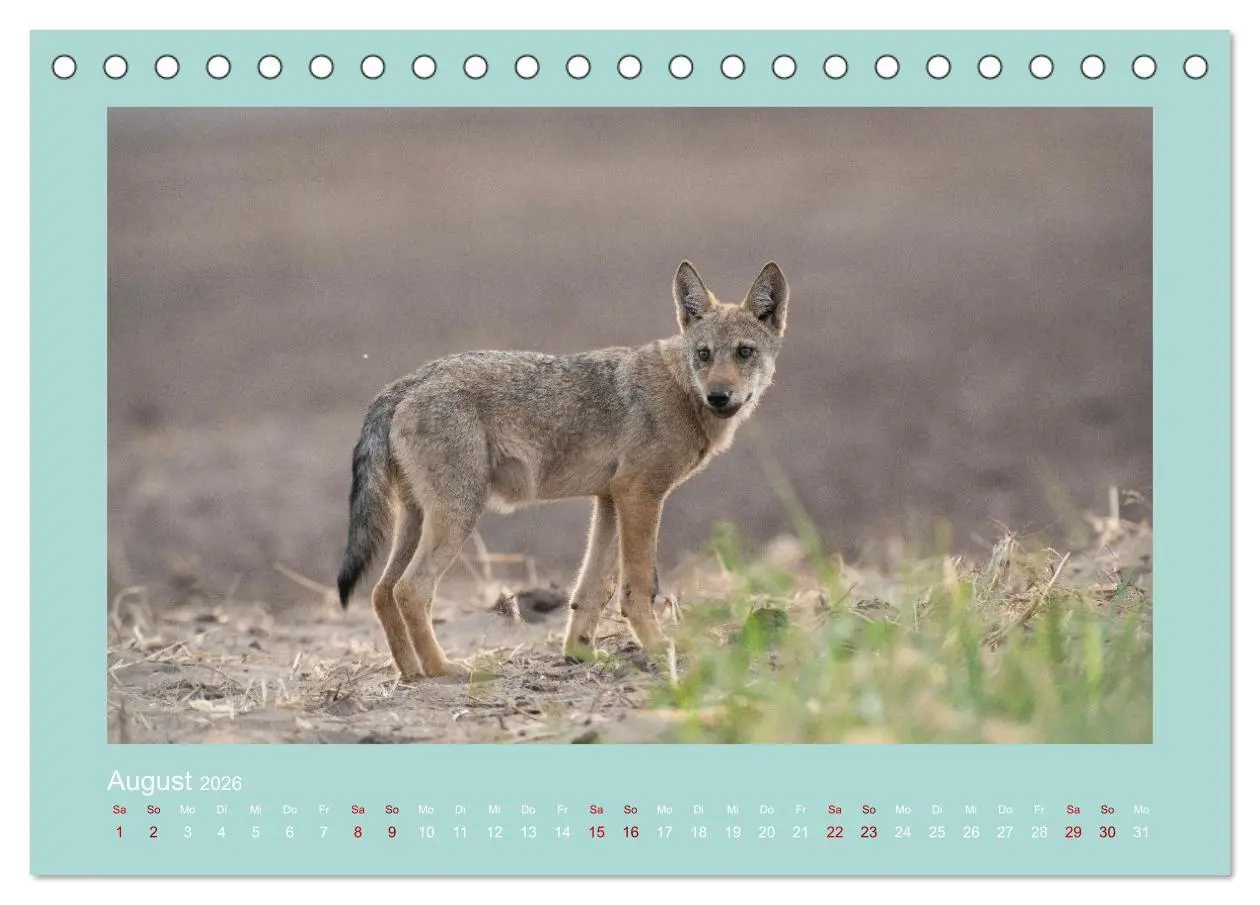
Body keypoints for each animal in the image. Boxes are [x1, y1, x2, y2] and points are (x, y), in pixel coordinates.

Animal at [336, 261, 790, 680]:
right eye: (704, 354)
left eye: (744, 352)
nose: (719, 396)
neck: (680, 389)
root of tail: (404, 384)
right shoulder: (640, 494)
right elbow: (637, 586)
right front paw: (660, 649)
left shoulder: (610, 498)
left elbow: (594, 588)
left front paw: (580, 654)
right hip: (458, 515)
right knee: (411, 589)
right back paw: (445, 669)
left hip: (417, 519)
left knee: (381, 591)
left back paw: (411, 673)